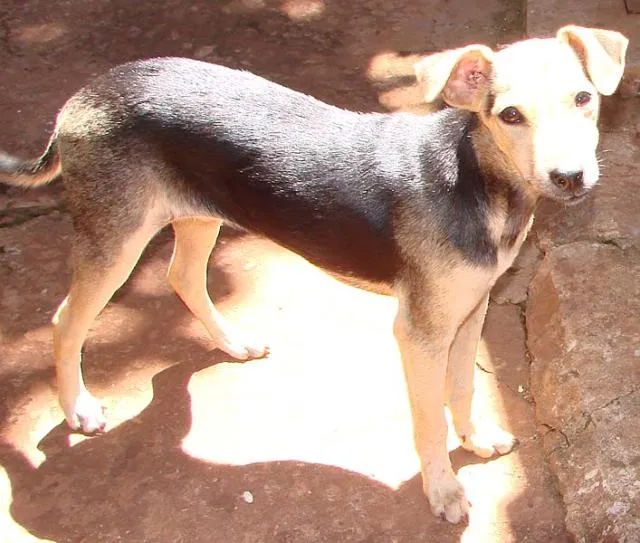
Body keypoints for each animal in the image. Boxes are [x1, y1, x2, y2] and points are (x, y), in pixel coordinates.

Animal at [0, 24, 628, 524]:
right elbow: (429, 419)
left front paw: (475, 440)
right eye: (510, 116)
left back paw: (233, 343)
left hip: (198, 214)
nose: (570, 177)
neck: (474, 180)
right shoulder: (420, 333)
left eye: (583, 99)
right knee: (65, 319)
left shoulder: (470, 310)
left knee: (181, 276)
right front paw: (443, 490)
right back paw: (78, 408)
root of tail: (85, 94)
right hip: (117, 237)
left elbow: (464, 386)